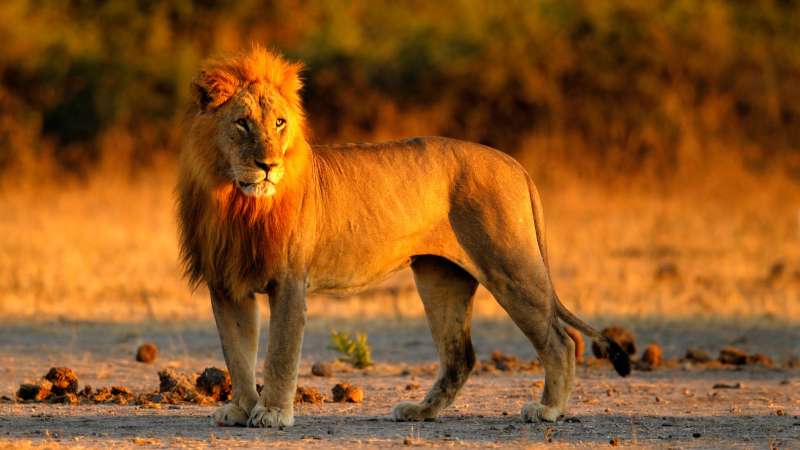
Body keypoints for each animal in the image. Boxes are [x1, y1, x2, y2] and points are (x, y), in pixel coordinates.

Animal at [177, 47, 630, 429]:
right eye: (241, 123)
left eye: (279, 123)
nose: (268, 165)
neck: (237, 201)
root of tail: (514, 163)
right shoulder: (227, 284)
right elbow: (237, 353)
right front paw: (240, 410)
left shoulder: (289, 281)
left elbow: (280, 354)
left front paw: (271, 413)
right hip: (440, 278)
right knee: (460, 356)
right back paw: (421, 411)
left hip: (511, 266)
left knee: (561, 340)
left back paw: (548, 409)